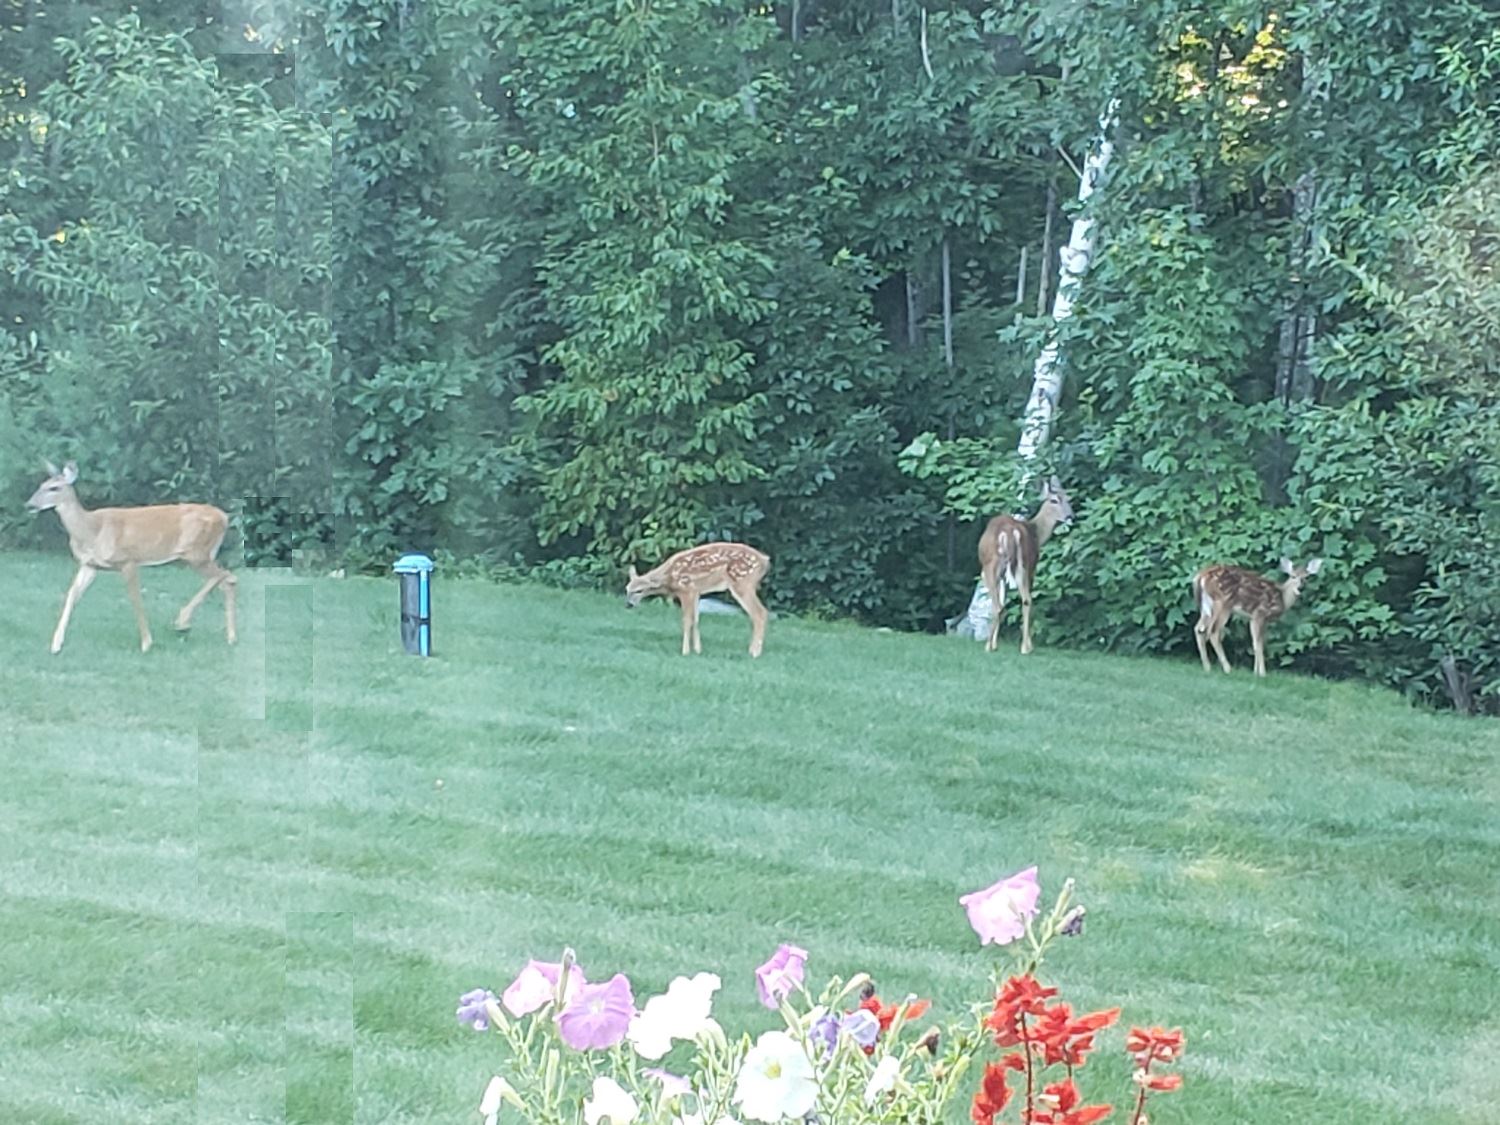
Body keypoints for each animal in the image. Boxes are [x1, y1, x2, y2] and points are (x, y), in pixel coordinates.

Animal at [25, 460, 238, 655]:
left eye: (54, 488)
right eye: (41, 485)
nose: (30, 504)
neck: (91, 530)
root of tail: (224, 517)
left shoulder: (128, 560)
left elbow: (135, 598)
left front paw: (146, 643)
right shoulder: (89, 565)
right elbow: (71, 595)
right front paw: (55, 645)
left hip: (196, 552)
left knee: (225, 575)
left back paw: (183, 621)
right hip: (201, 555)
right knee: (227, 580)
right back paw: (229, 637)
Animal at [625, 542, 771, 657]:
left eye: (639, 591)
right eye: (627, 589)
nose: (628, 605)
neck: (670, 577)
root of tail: (764, 561)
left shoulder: (687, 589)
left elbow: (687, 620)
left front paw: (685, 652)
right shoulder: (696, 593)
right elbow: (696, 620)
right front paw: (698, 650)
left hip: (742, 584)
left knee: (760, 613)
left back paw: (754, 653)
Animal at [978, 476, 1074, 654]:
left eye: (1068, 499)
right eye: (1055, 500)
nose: (1071, 516)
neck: (1036, 532)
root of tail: (1010, 531)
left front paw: (993, 644)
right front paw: (997, 643)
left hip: (992, 565)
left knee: (998, 606)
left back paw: (989, 646)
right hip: (1024, 564)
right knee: (1026, 600)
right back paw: (1026, 647)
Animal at [1192, 557, 1322, 677]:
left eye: (1307, 577)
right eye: (1293, 576)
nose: (1300, 588)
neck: (1282, 598)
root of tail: (1201, 576)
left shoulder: (1261, 620)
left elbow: (1258, 643)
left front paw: (1255, 672)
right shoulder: (1259, 614)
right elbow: (1258, 644)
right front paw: (1262, 673)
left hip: (1206, 607)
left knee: (1199, 629)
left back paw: (1207, 667)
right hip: (1223, 603)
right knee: (1213, 632)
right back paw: (1228, 669)